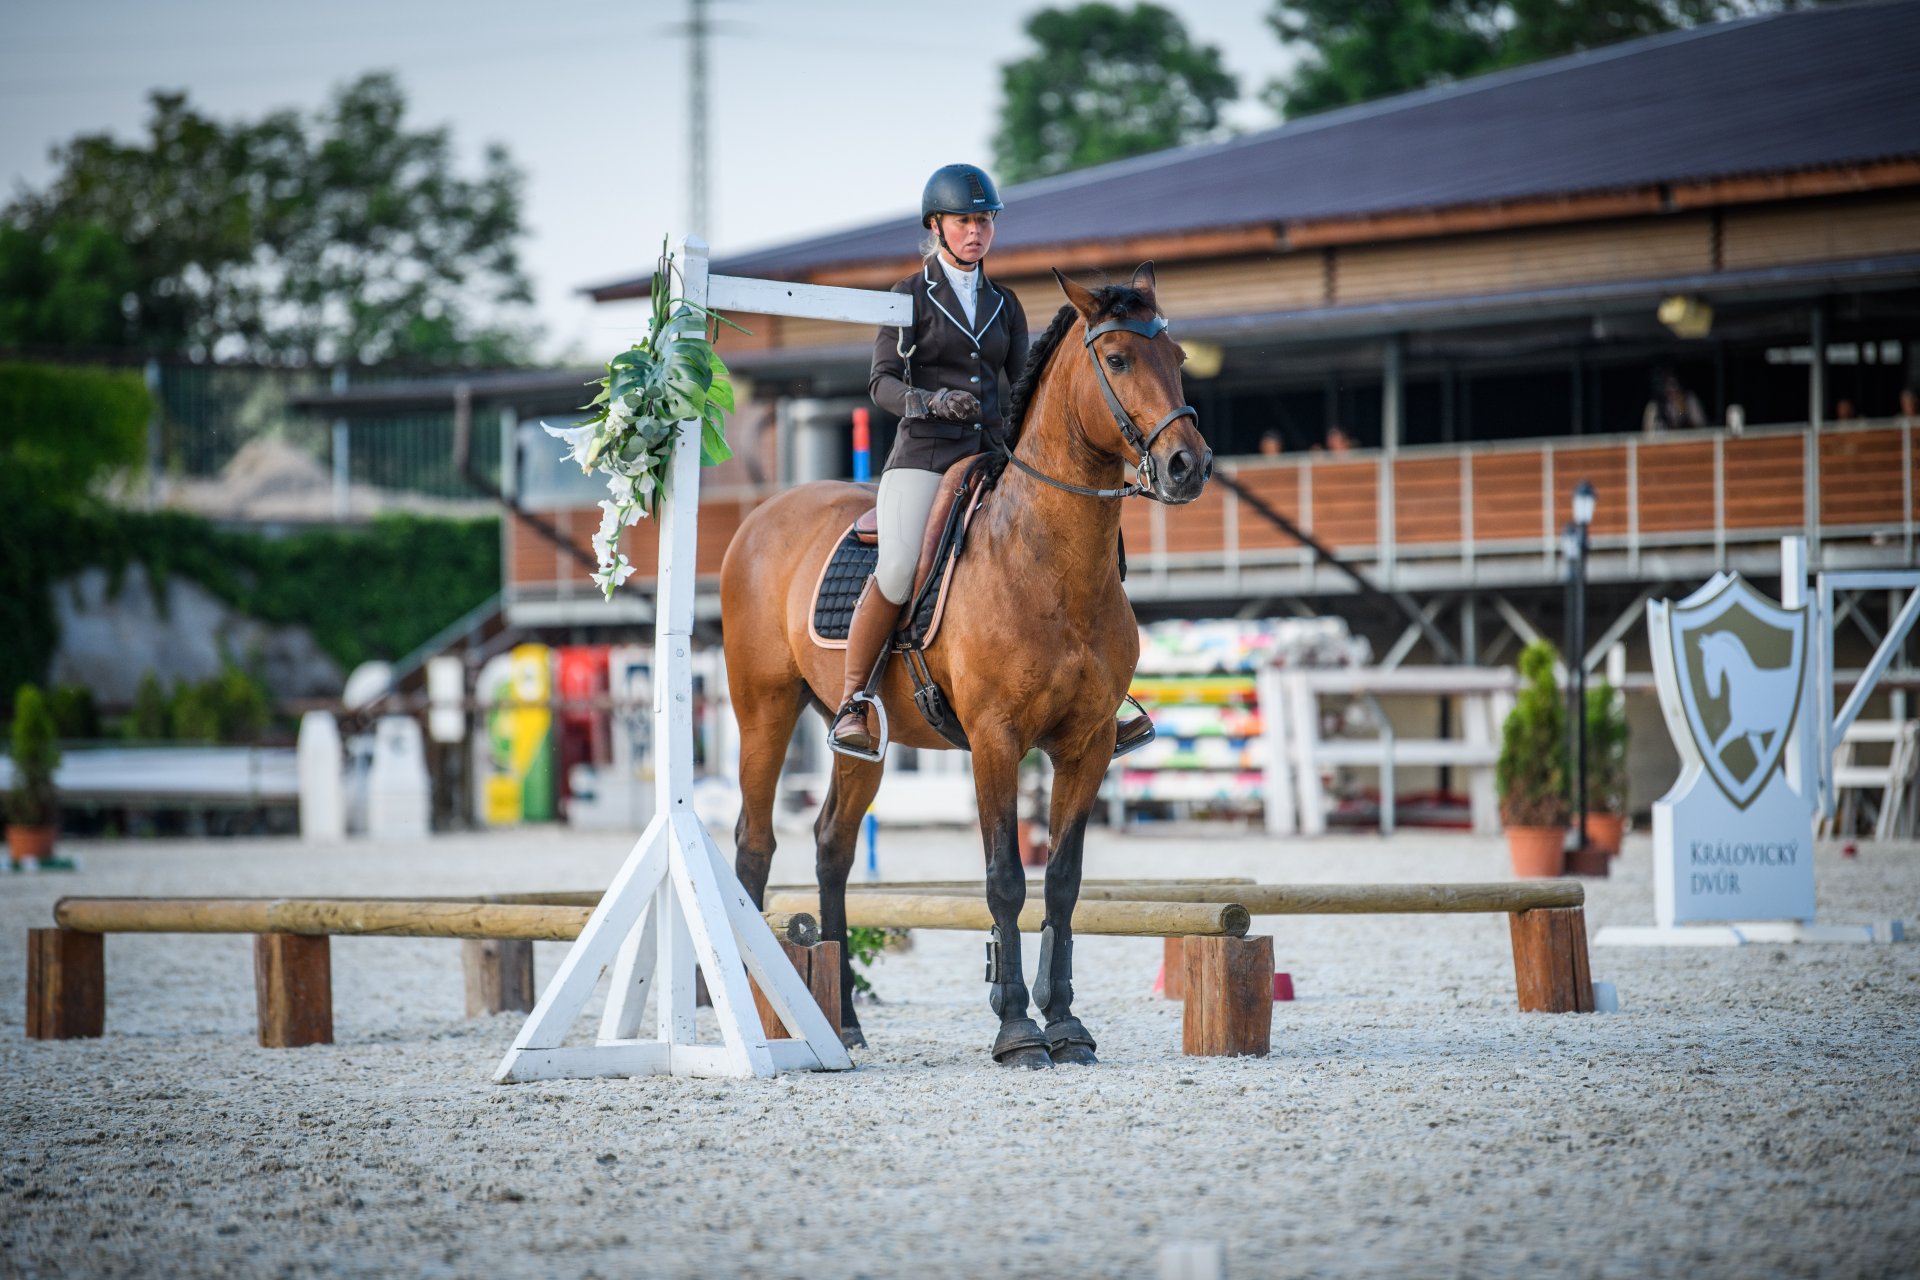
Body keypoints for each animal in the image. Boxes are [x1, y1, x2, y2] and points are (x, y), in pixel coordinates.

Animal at [721, 264, 1213, 1066]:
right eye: (1117, 361)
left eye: (1177, 360)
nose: (1187, 466)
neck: (1049, 561)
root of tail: (764, 516)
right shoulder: (995, 740)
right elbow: (1006, 879)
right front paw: (1016, 1031)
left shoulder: (1087, 745)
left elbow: (1064, 883)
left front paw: (1066, 1026)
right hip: (762, 708)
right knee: (754, 847)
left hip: (860, 739)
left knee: (832, 846)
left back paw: (844, 1022)